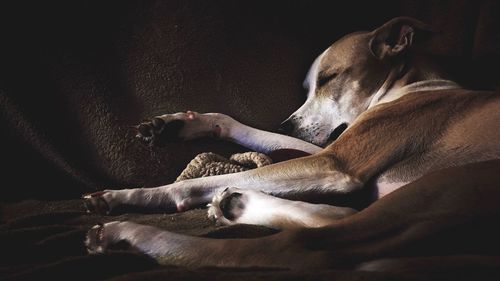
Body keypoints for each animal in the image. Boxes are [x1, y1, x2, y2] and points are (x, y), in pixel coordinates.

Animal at [83, 17, 500, 270]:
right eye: (307, 86)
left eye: (330, 77)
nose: (288, 123)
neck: (413, 85)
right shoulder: (329, 150)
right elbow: (242, 128)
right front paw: (176, 125)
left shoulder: (336, 165)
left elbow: (199, 181)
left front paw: (135, 194)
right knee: (336, 218)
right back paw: (237, 204)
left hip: (453, 184)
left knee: (288, 249)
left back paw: (128, 236)